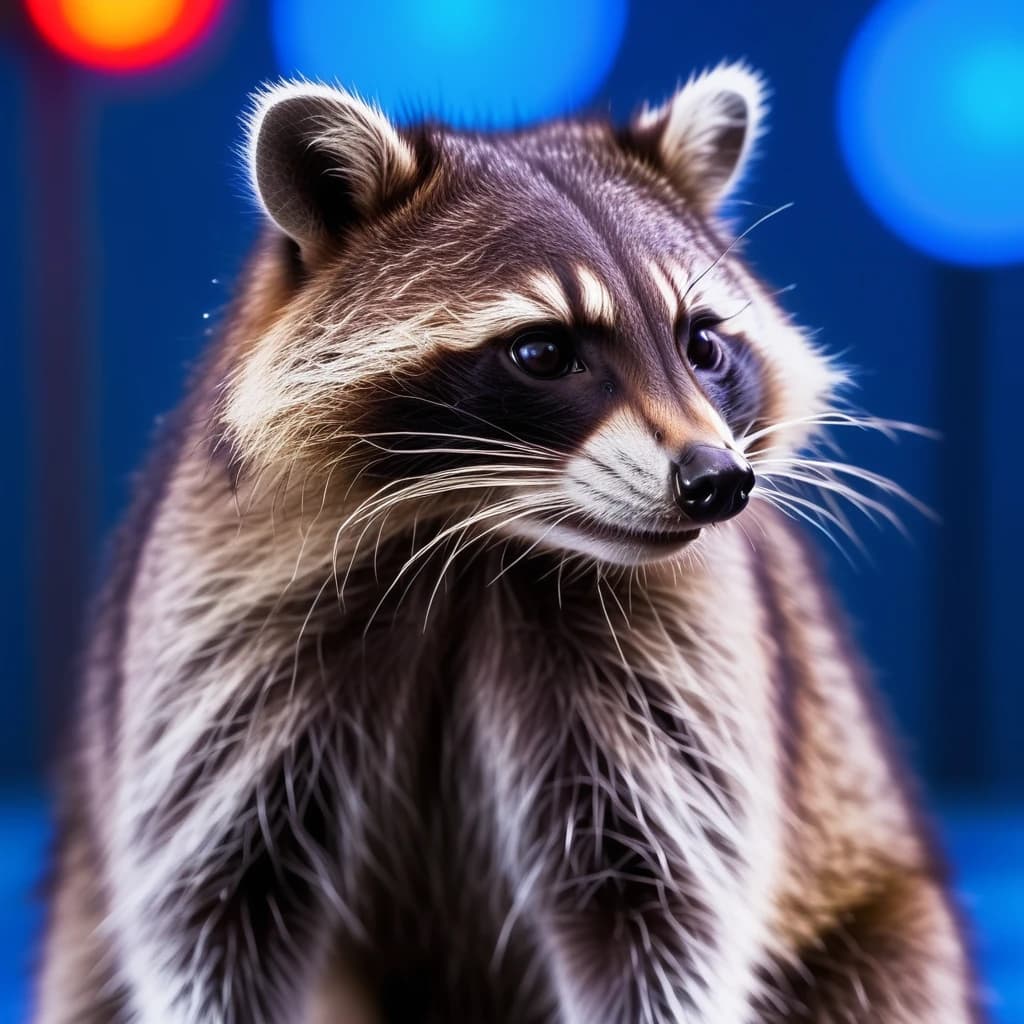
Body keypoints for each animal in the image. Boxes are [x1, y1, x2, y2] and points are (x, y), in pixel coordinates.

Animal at [37, 66, 980, 1024]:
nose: (717, 481)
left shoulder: (679, 660)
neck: (481, 542)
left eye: (703, 343)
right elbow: (215, 907)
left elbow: (659, 913)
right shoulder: (228, 613)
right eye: (543, 351)